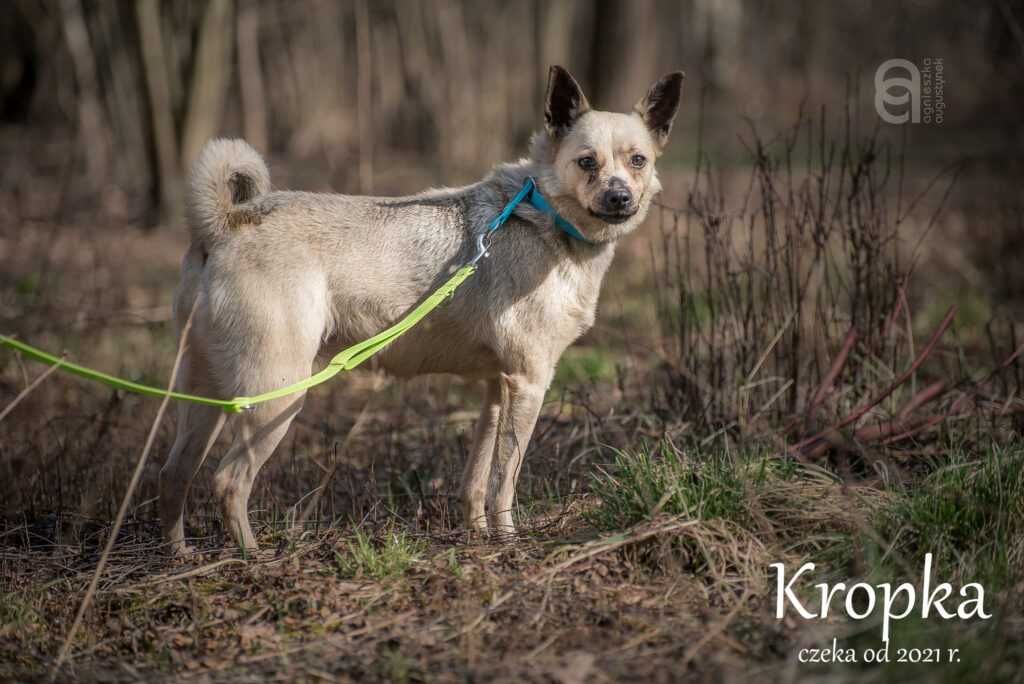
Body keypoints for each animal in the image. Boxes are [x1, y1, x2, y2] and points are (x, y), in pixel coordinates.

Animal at [163, 66, 684, 552]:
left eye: (637, 161)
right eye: (586, 162)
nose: (620, 197)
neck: (544, 212)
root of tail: (226, 222)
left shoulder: (497, 390)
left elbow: (476, 479)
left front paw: (478, 536)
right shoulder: (529, 384)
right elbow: (504, 482)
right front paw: (508, 541)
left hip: (206, 396)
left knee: (175, 472)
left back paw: (180, 555)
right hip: (277, 395)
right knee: (228, 482)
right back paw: (253, 558)